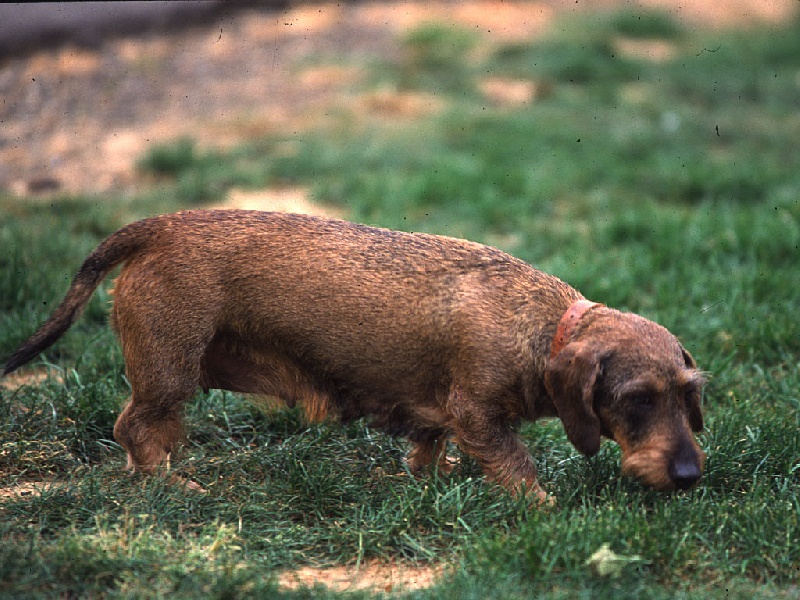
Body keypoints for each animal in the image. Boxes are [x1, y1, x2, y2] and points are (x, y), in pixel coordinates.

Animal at [1, 209, 708, 500]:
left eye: (689, 393)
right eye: (637, 399)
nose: (689, 476)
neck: (544, 328)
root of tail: (154, 228)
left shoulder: (439, 415)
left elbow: (428, 446)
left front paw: (430, 482)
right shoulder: (480, 415)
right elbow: (517, 467)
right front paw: (546, 511)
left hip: (173, 375)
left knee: (155, 430)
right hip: (167, 370)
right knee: (132, 428)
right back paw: (170, 483)